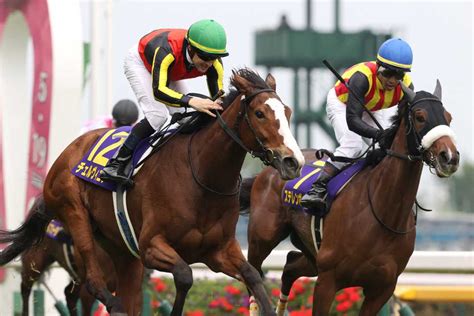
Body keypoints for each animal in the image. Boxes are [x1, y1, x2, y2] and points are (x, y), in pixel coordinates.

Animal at [0, 68, 304, 314]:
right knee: (85, 284)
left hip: (121, 250)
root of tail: (66, 153)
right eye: (259, 113)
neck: (203, 179)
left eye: (288, 112)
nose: (294, 161)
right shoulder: (151, 246)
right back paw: (113, 305)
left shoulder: (218, 251)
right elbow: (184, 276)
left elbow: (253, 276)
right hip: (72, 217)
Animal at [241, 82, 460, 316]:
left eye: (448, 117)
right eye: (420, 116)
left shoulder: (382, 288)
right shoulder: (327, 280)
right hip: (262, 239)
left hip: (312, 254)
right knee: (253, 274)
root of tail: (270, 170)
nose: (450, 157)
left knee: (290, 265)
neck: (382, 212)